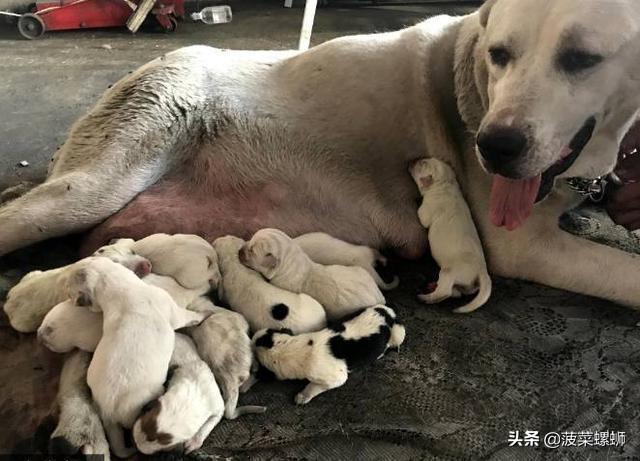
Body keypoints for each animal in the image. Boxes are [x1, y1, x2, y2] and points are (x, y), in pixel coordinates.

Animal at [68, 257, 209, 458]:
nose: (71, 301)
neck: (118, 287)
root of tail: (108, 413)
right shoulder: (176, 313)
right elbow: (193, 316)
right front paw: (205, 313)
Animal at [253, 305, 405, 404]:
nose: (252, 336)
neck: (292, 348)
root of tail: (388, 313)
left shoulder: (337, 377)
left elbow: (314, 386)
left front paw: (302, 396)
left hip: (398, 333)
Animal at [410, 158, 492, 313]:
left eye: (422, 164)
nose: (411, 161)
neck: (446, 183)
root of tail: (482, 271)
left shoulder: (427, 211)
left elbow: (421, 216)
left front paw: (416, 200)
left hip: (447, 272)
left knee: (444, 292)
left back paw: (425, 298)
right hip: (464, 283)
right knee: (458, 292)